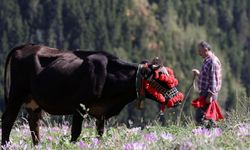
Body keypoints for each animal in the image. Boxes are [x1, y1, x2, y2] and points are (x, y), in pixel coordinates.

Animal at [0, 43, 183, 145]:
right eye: (162, 79)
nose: (179, 99)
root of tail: (26, 46)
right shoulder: (79, 107)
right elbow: (75, 133)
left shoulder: (101, 113)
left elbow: (100, 134)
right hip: (16, 94)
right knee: (8, 120)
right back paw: (6, 144)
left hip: (34, 102)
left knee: (34, 124)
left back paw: (37, 145)